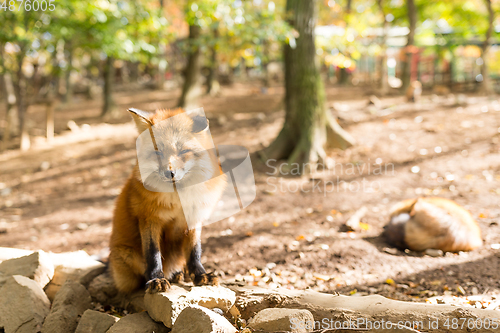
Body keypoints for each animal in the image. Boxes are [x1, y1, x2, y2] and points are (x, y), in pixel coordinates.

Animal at [110, 107, 228, 292]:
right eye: (157, 152)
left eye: (183, 152)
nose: (169, 173)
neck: (178, 200)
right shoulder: (149, 218)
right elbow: (153, 254)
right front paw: (156, 279)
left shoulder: (194, 218)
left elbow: (194, 252)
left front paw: (200, 275)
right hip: (127, 256)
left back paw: (179, 274)